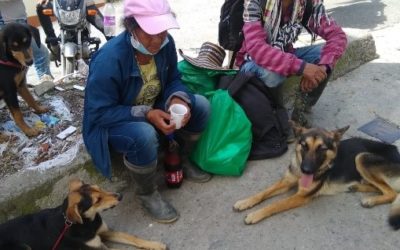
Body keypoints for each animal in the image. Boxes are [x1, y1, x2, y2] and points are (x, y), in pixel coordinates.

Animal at [0, 179, 166, 249]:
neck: (86, 222)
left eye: (100, 188)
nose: (120, 196)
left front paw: (154, 245)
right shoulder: (95, 247)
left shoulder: (103, 232)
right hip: (22, 247)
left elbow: (131, 237)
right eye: (97, 200)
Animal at [233, 123, 400, 229]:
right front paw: (244, 202)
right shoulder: (287, 181)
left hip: (361, 157)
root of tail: (396, 151)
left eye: (322, 149)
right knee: (380, 187)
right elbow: (263, 193)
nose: (306, 170)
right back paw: (357, 187)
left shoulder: (301, 196)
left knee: (392, 192)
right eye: (304, 146)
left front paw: (255, 214)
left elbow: (275, 204)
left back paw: (370, 200)